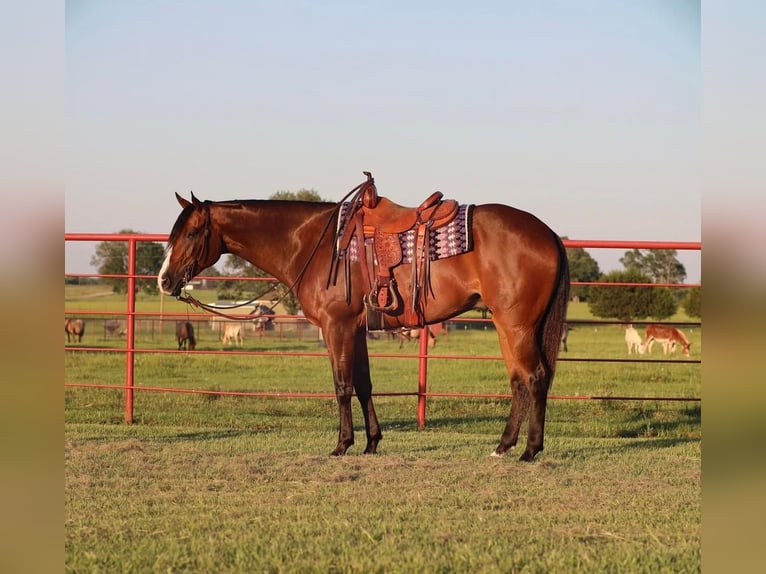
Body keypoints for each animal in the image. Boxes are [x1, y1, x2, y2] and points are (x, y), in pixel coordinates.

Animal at [159, 173, 568, 462]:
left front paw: (342, 444)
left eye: (192, 232)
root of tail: (548, 233)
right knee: (519, 381)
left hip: (517, 325)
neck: (314, 243)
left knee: (534, 377)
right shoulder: (357, 330)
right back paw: (504, 446)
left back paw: (529, 451)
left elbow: (342, 385)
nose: (164, 280)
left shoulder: (337, 327)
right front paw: (372, 442)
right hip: (506, 325)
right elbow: (364, 384)